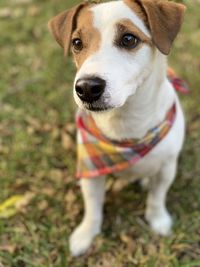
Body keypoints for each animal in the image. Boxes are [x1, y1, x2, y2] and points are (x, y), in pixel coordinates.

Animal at [48, 0, 186, 256]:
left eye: (129, 39)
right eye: (77, 43)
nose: (87, 88)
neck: (125, 123)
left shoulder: (167, 167)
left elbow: (157, 197)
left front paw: (158, 220)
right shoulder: (91, 173)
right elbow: (93, 208)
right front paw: (86, 234)